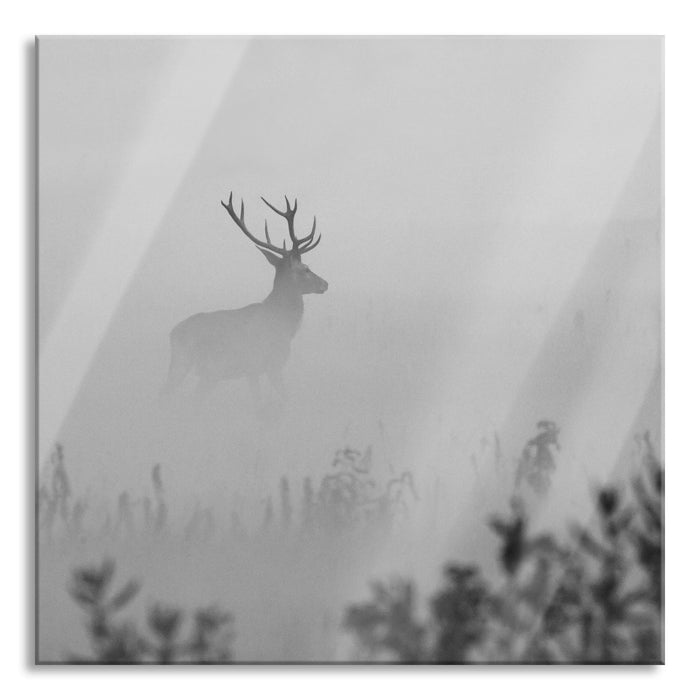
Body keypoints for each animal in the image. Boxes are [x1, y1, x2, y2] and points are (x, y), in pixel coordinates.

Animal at [162, 193, 328, 403]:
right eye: (306, 269)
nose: (325, 283)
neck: (284, 326)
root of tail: (172, 334)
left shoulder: (259, 369)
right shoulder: (265, 364)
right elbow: (274, 400)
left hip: (198, 370)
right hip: (194, 365)